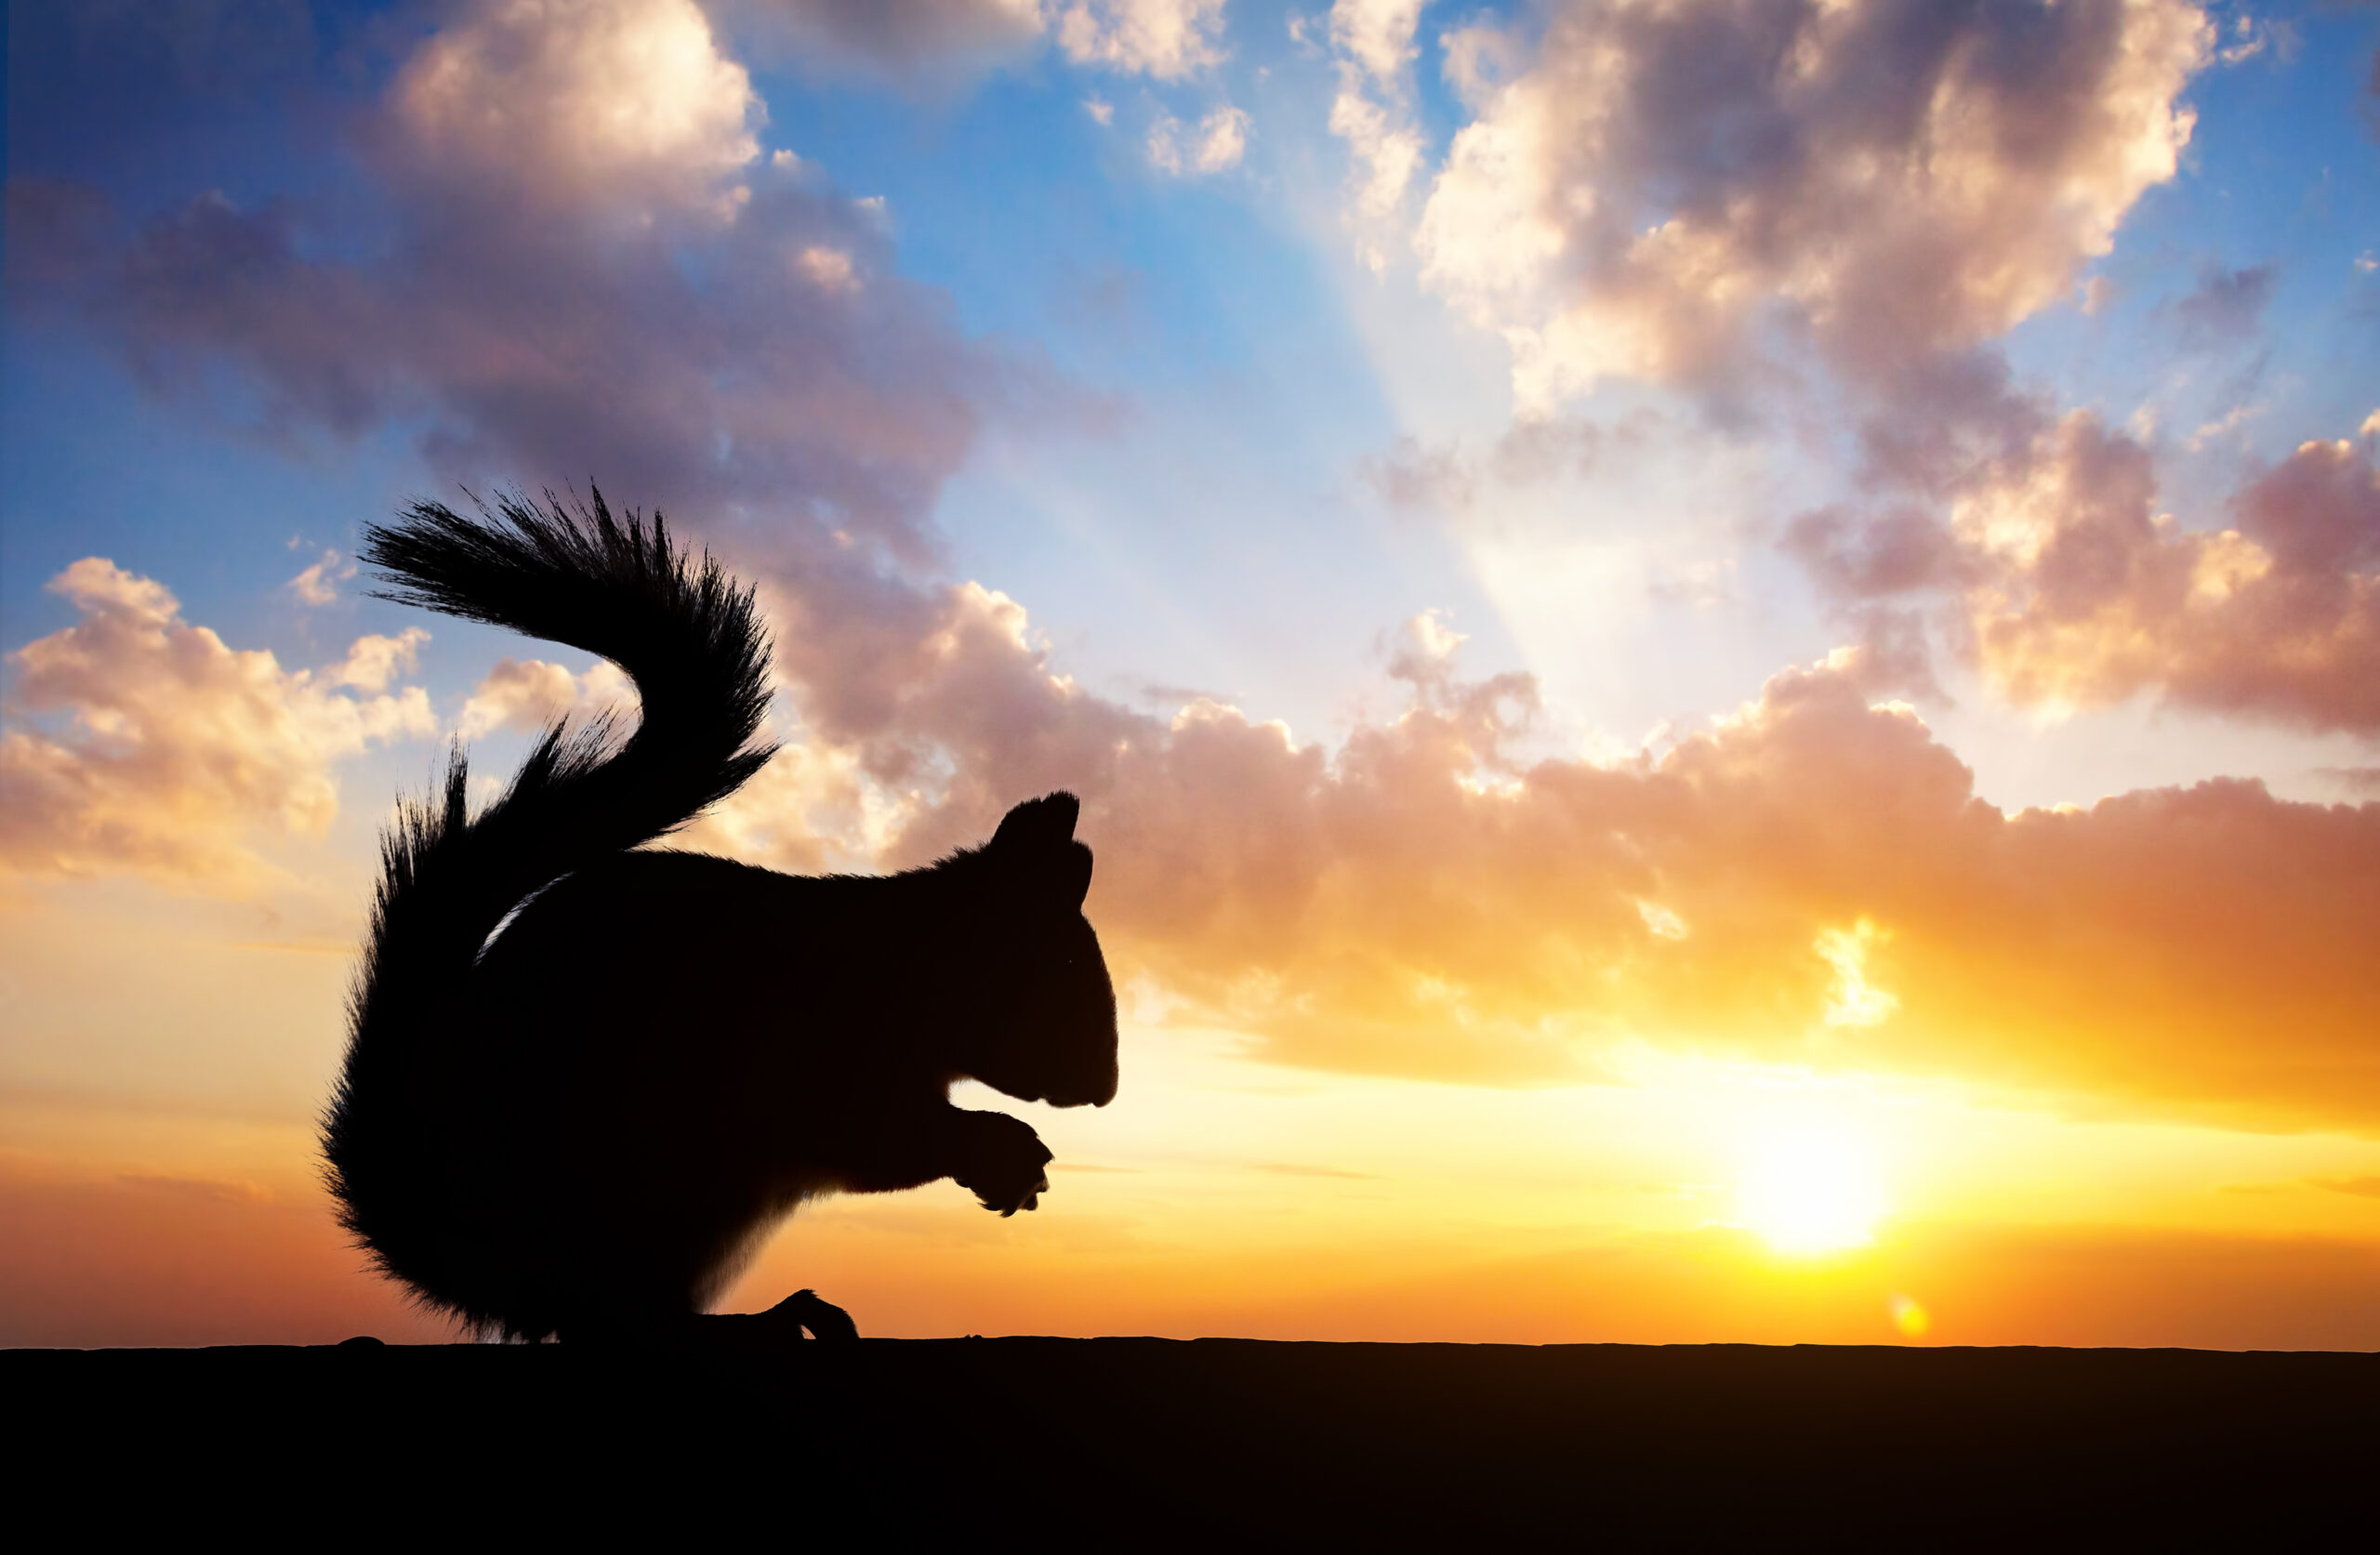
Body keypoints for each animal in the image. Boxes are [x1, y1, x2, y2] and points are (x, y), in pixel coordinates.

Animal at [319, 494, 1123, 1351]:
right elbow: (877, 1139)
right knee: (618, 1318)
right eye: (1063, 970)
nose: (1107, 1089)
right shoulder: (829, 1056)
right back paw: (765, 1320)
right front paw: (1002, 1152)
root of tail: (473, 1263)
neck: (907, 954)